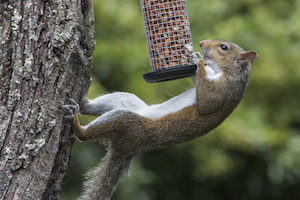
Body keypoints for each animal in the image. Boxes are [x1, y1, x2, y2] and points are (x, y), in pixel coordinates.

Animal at [63, 39, 258, 200]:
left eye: (224, 47)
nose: (202, 43)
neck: (226, 72)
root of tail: (124, 150)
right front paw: (192, 56)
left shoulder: (224, 92)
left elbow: (207, 102)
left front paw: (198, 61)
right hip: (125, 100)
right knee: (91, 107)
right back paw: (83, 98)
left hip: (126, 123)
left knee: (85, 135)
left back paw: (77, 124)